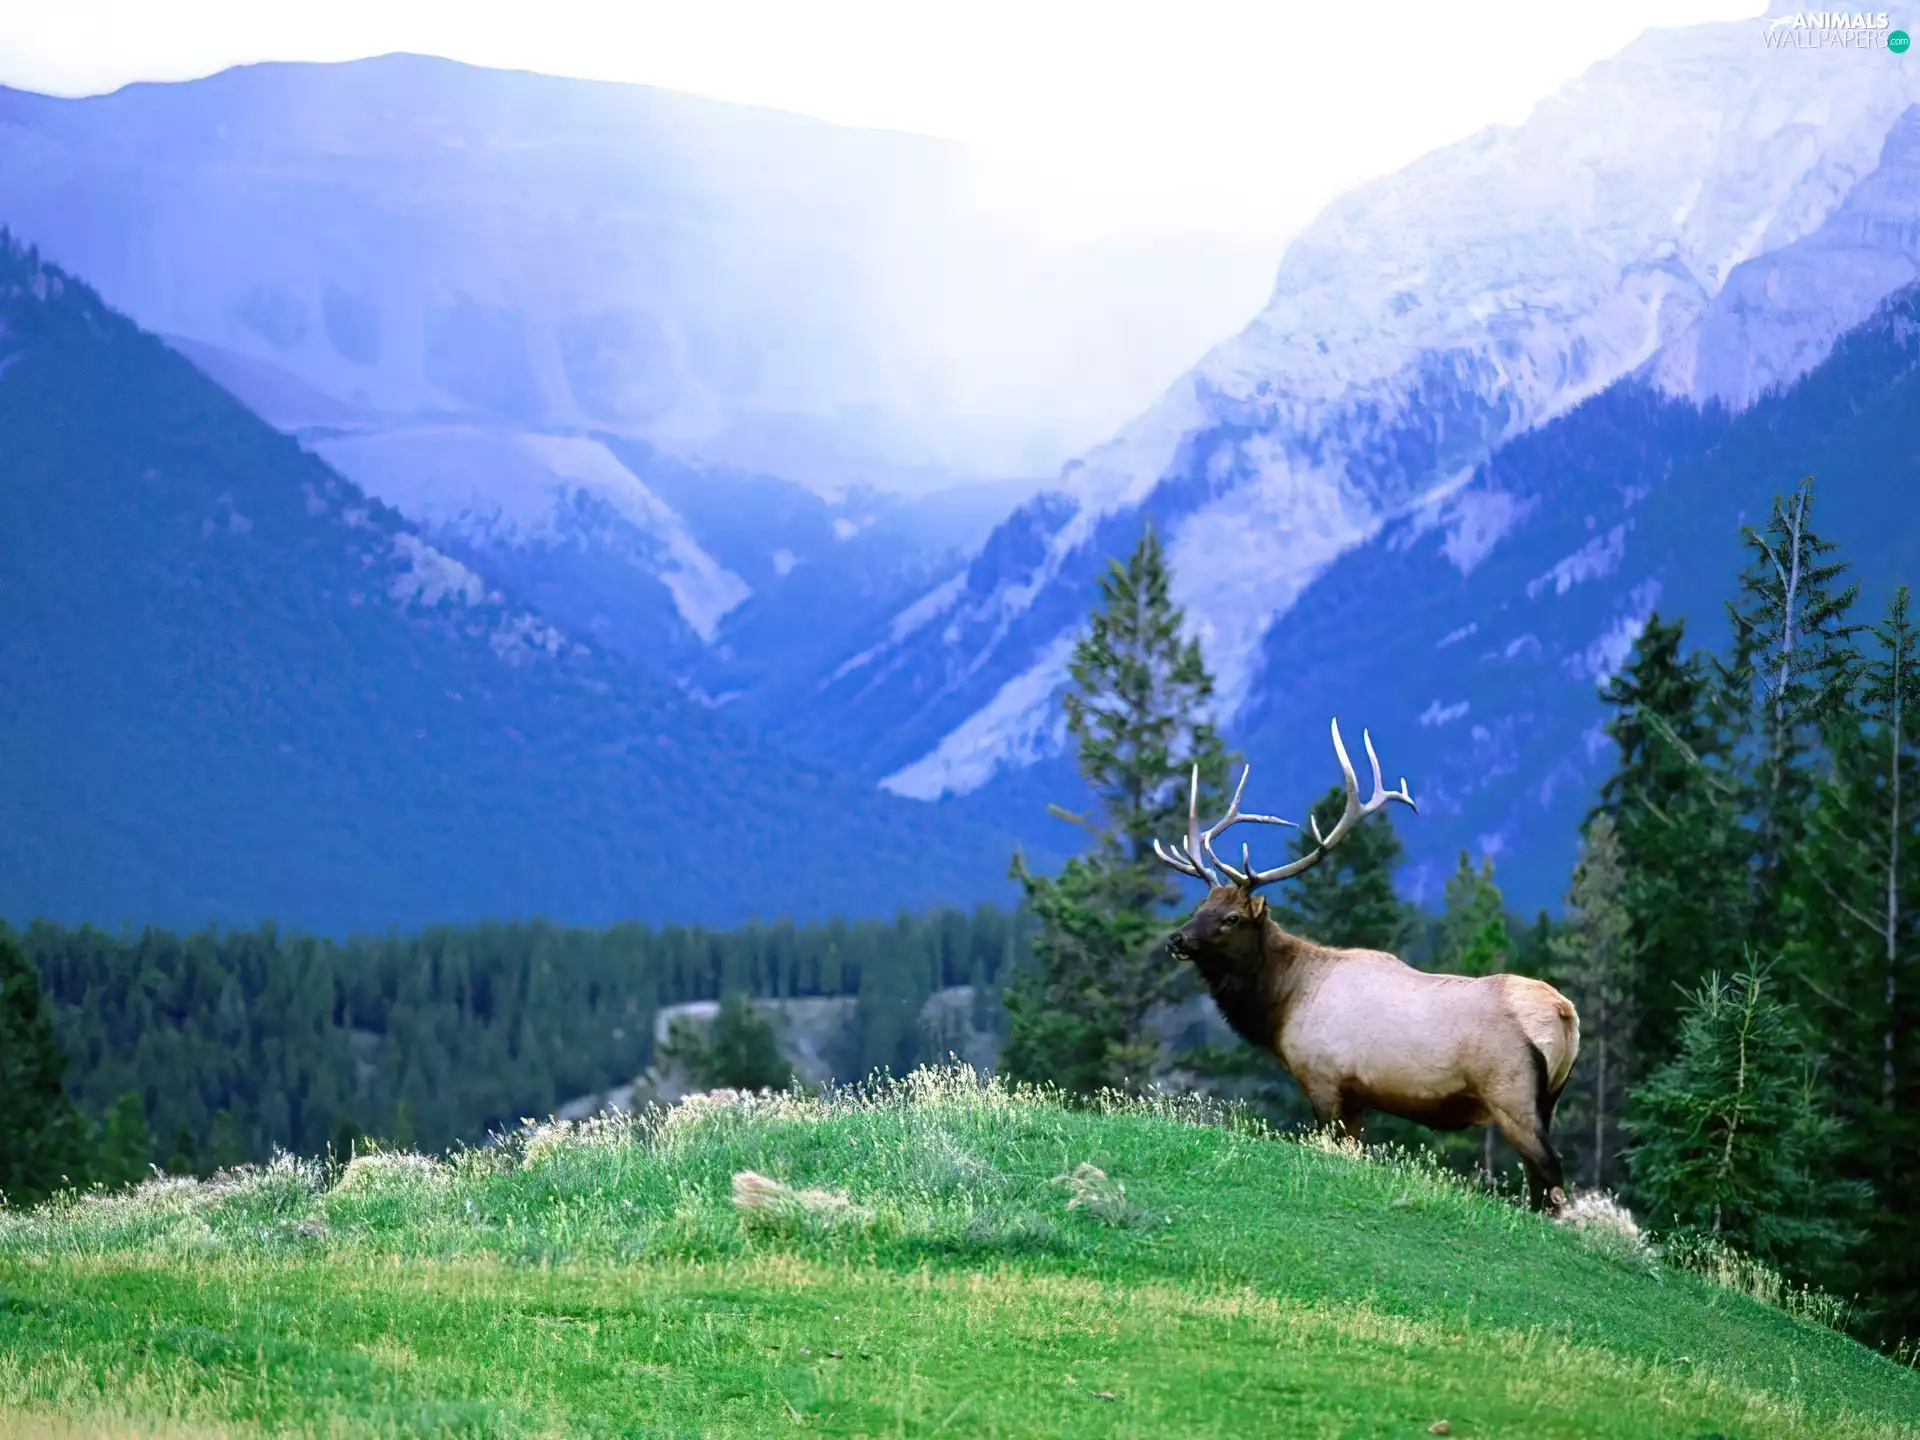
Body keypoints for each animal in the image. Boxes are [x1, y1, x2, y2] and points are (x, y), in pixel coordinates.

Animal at [1155, 720, 1580, 1213]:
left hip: (1510, 1091)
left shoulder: (1324, 1080)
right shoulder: (1357, 1096)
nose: (1176, 939)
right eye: (1201, 905)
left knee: (1549, 1169)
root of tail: (1564, 1013)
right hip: (1550, 1098)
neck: (1282, 1006)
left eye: (1232, 918)